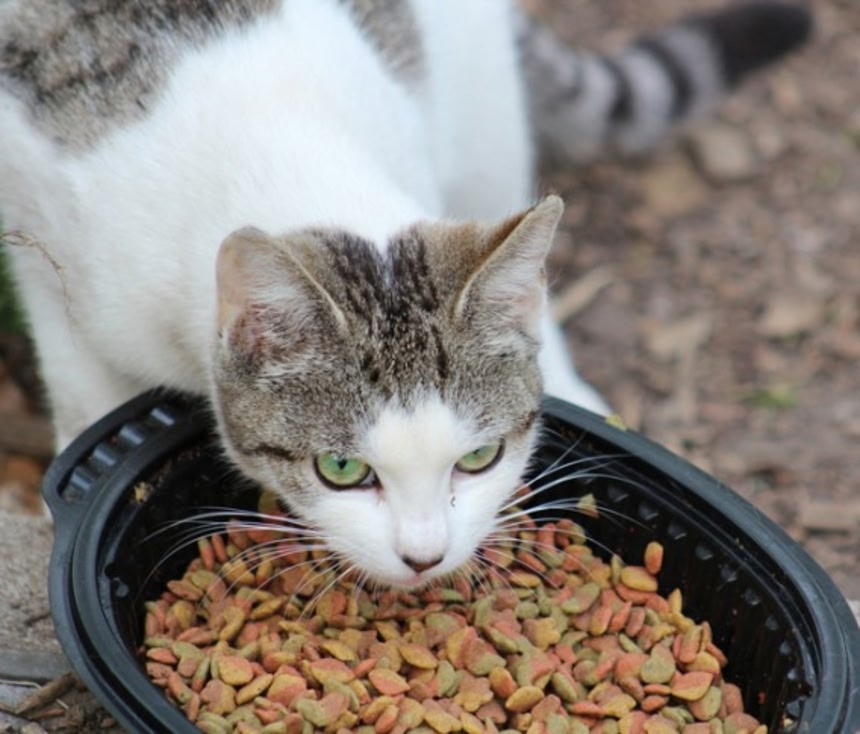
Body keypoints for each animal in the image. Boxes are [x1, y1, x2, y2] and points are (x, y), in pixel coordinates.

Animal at [0, 0, 809, 588]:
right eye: (342, 471)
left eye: (479, 459)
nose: (425, 556)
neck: (289, 141)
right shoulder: (49, 267)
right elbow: (89, 406)